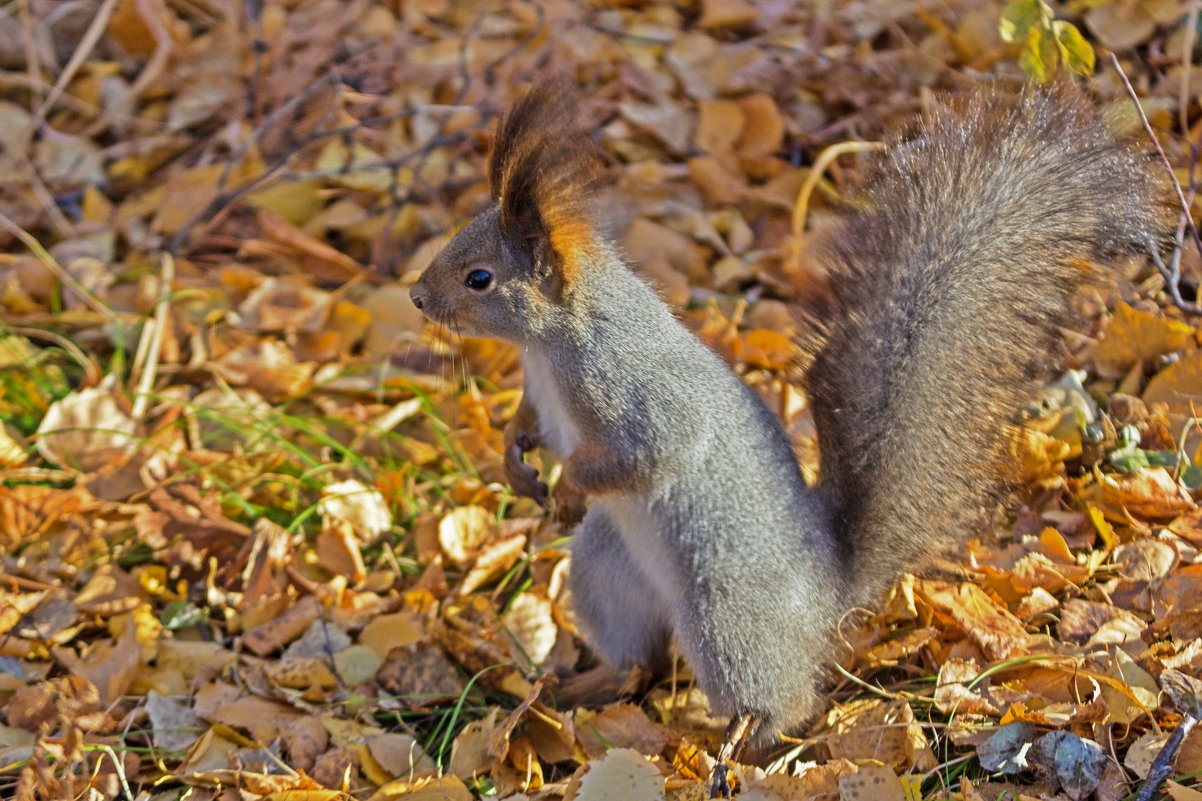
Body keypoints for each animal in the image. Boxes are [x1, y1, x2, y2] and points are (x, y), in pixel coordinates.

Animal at [408, 78, 1168, 760]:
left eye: (479, 278)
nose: (415, 297)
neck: (546, 343)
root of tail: (825, 597)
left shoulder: (632, 390)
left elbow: (646, 451)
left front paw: (567, 484)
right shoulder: (541, 392)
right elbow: (529, 422)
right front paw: (516, 459)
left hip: (724, 616)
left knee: (781, 702)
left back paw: (738, 747)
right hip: (607, 570)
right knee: (638, 661)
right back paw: (586, 688)